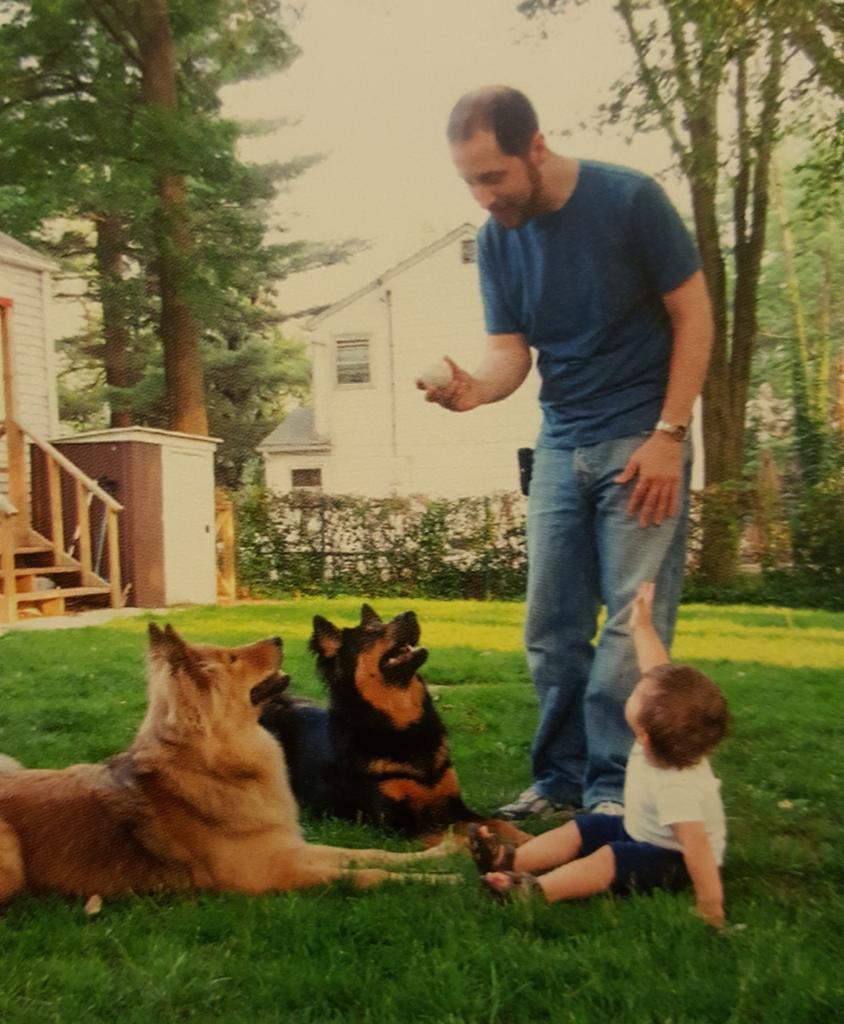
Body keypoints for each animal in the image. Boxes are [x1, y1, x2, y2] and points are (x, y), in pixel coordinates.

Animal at [0, 618, 454, 901]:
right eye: (232, 658)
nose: (279, 638)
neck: (216, 761)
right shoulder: (269, 873)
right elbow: (366, 874)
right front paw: (439, 880)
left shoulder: (289, 847)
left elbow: (369, 853)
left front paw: (439, 856)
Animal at [262, 602, 528, 843]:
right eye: (371, 633)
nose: (409, 613)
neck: (405, 727)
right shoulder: (398, 825)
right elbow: (453, 840)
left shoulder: (455, 808)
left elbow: (502, 825)